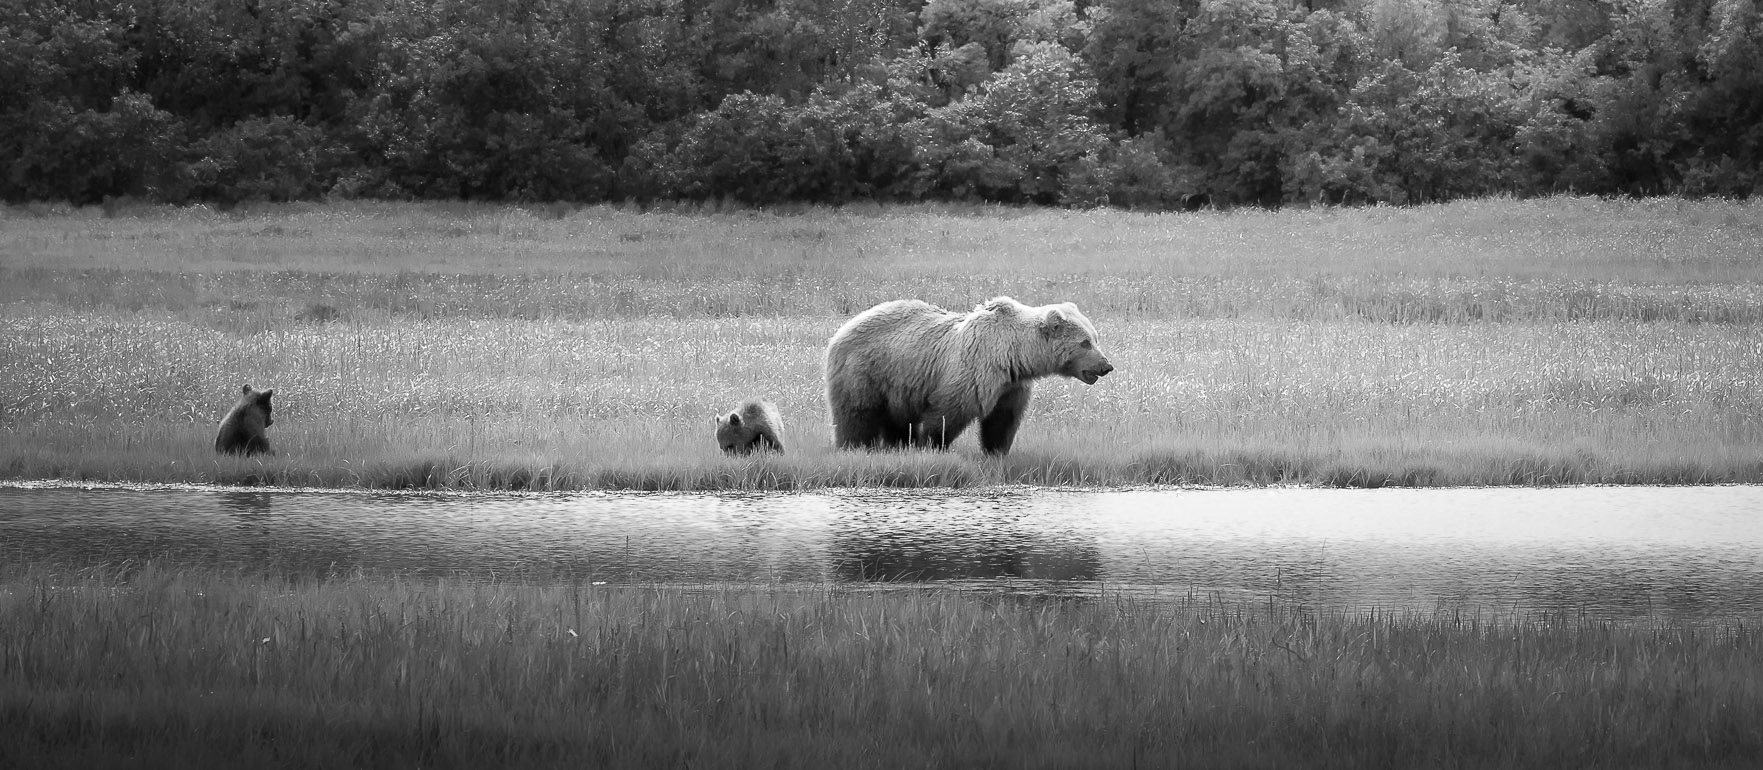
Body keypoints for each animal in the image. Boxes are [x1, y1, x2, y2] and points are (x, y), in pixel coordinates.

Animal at [818, 294, 1107, 449]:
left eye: (1095, 338)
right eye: (1085, 343)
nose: (1106, 365)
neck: (1015, 355)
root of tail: (841, 330)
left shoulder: (1011, 386)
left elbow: (1002, 421)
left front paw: (997, 451)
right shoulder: (973, 373)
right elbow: (948, 415)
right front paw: (931, 446)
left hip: (897, 385)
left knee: (895, 422)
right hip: (864, 371)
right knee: (856, 415)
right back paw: (854, 446)